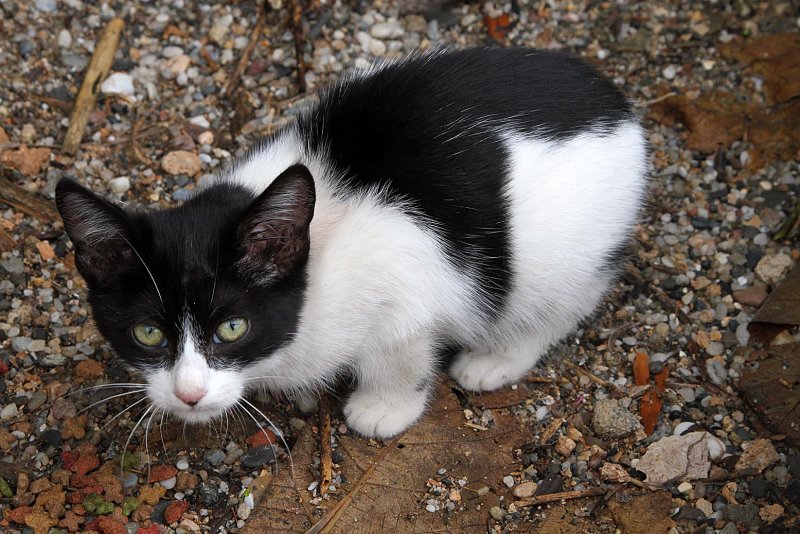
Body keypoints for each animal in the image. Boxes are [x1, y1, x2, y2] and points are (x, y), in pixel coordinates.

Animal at [56, 47, 648, 440]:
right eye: (149, 334)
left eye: (232, 328)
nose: (189, 394)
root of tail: (619, 105)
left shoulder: (408, 278)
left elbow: (400, 351)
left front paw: (384, 408)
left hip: (562, 253)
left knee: (568, 300)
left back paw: (496, 357)